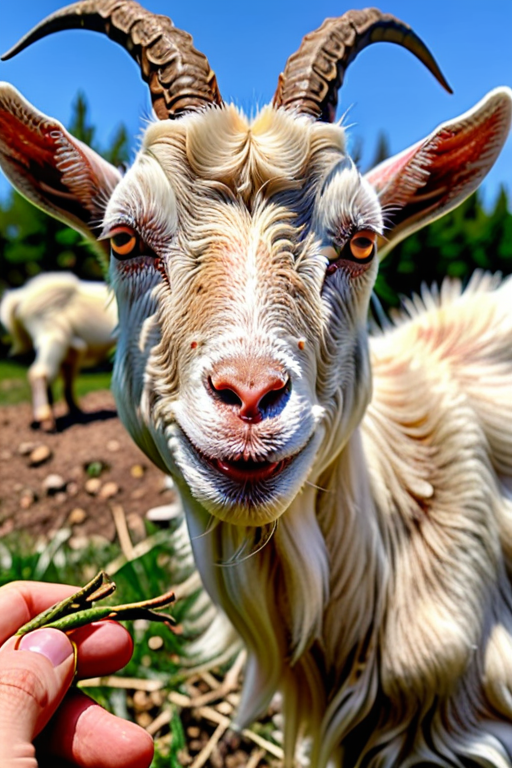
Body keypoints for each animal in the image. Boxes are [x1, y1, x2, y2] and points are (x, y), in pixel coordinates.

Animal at [0, 272, 117, 430]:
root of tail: (20, 298)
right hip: (52, 336)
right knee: (40, 372)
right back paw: (46, 420)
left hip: (68, 346)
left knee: (62, 374)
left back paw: (74, 413)